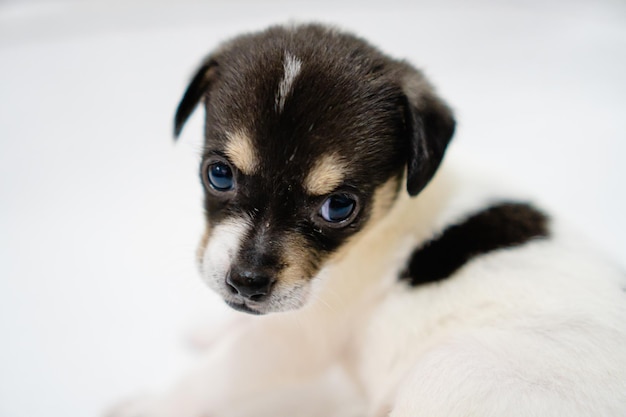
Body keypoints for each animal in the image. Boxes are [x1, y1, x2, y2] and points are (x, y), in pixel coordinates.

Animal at [112, 23, 624, 416]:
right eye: (218, 174)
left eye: (339, 207)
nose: (245, 283)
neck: (390, 214)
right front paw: (210, 327)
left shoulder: (297, 335)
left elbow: (212, 377)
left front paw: (146, 406)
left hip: (446, 374)